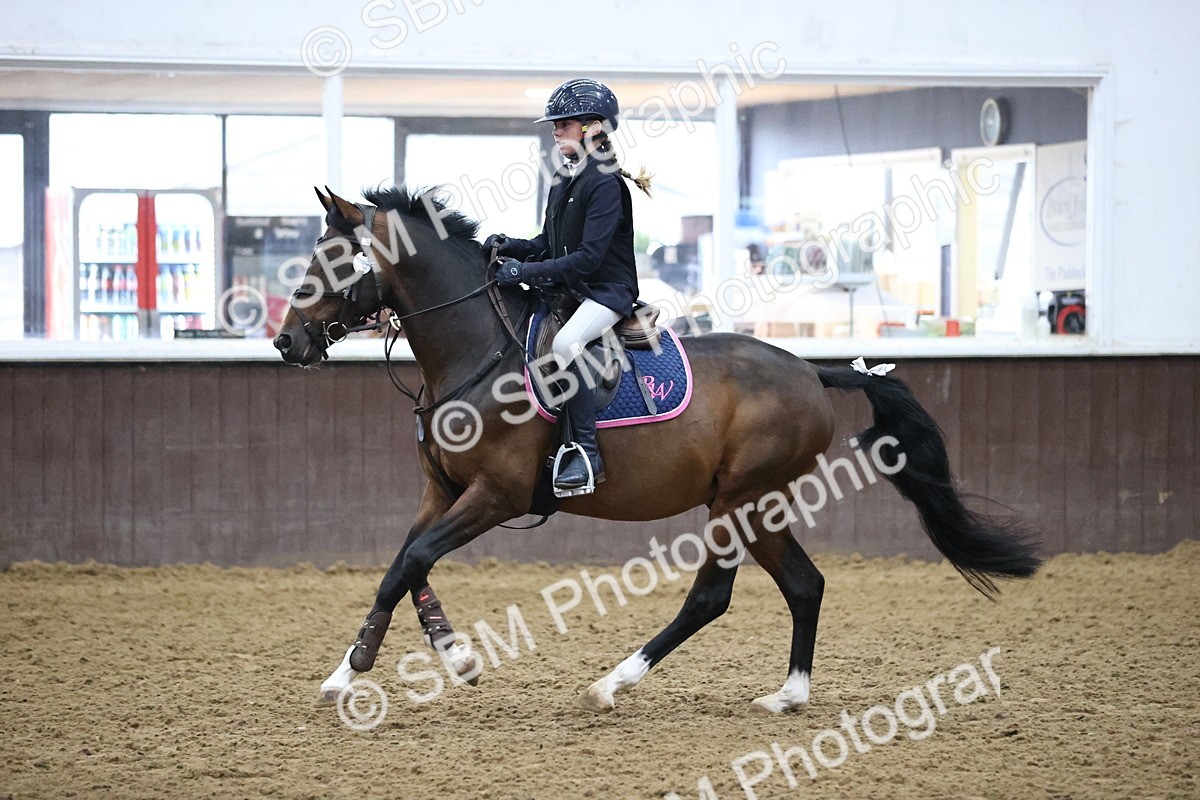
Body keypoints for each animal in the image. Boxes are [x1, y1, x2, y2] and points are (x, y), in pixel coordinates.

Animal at [274, 186, 1041, 714]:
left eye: (337, 258)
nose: (287, 341)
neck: (475, 354)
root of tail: (809, 371)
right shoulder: (441, 489)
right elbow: (401, 567)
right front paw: (395, 661)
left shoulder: (495, 495)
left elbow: (414, 560)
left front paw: (413, 662)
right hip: (760, 504)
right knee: (804, 584)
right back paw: (787, 695)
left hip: (740, 500)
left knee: (712, 596)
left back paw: (612, 683)